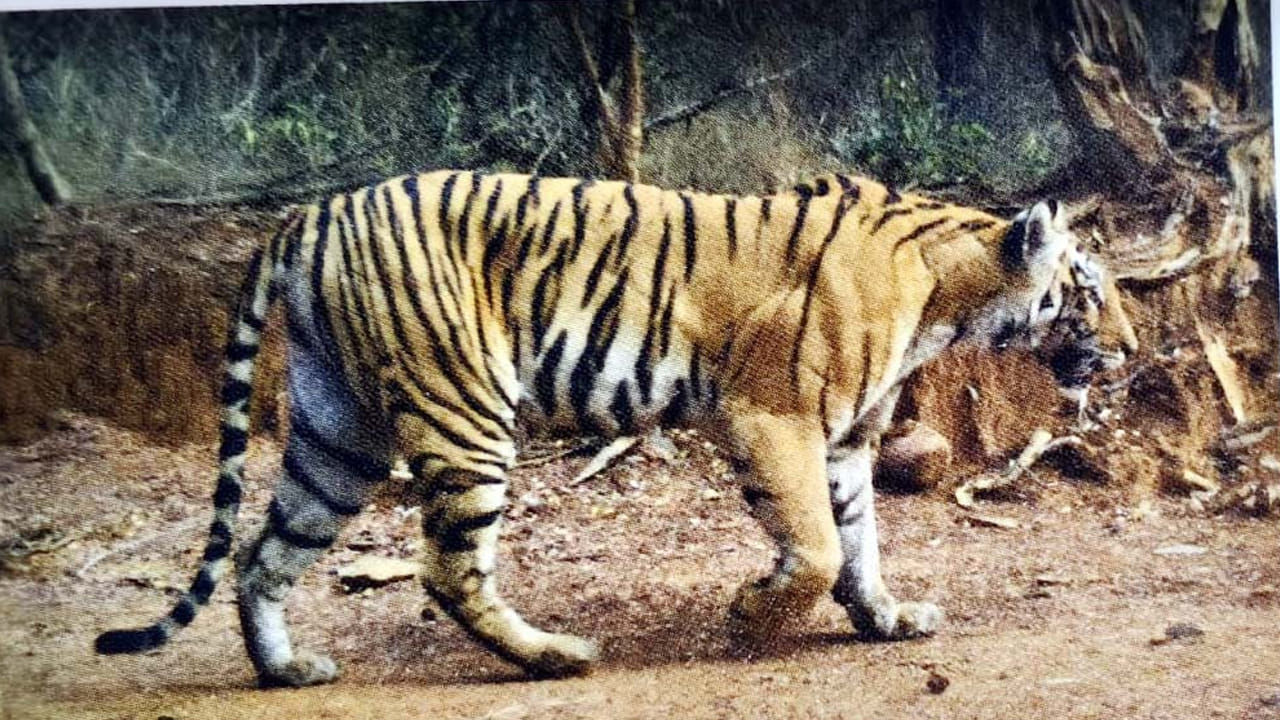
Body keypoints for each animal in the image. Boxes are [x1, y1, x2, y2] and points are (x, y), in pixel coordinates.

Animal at [95, 170, 1136, 687]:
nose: (1132, 347)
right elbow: (813, 548)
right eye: (1088, 290)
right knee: (446, 568)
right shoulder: (773, 416)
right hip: (464, 408)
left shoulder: (843, 440)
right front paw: (749, 619)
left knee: (262, 552)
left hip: (335, 435)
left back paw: (288, 670)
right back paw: (554, 658)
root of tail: (309, 215)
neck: (951, 295)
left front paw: (888, 619)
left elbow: (858, 542)